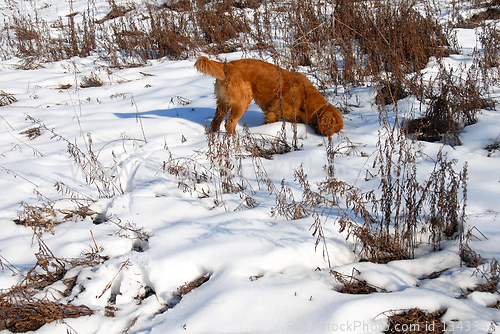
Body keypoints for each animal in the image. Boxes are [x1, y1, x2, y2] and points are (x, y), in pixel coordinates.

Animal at [193, 56, 342, 136]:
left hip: (223, 103)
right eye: (334, 127)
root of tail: (227, 65)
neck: (306, 97)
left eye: (337, 130)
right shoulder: (273, 112)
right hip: (242, 102)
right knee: (229, 124)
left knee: (215, 122)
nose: (329, 137)